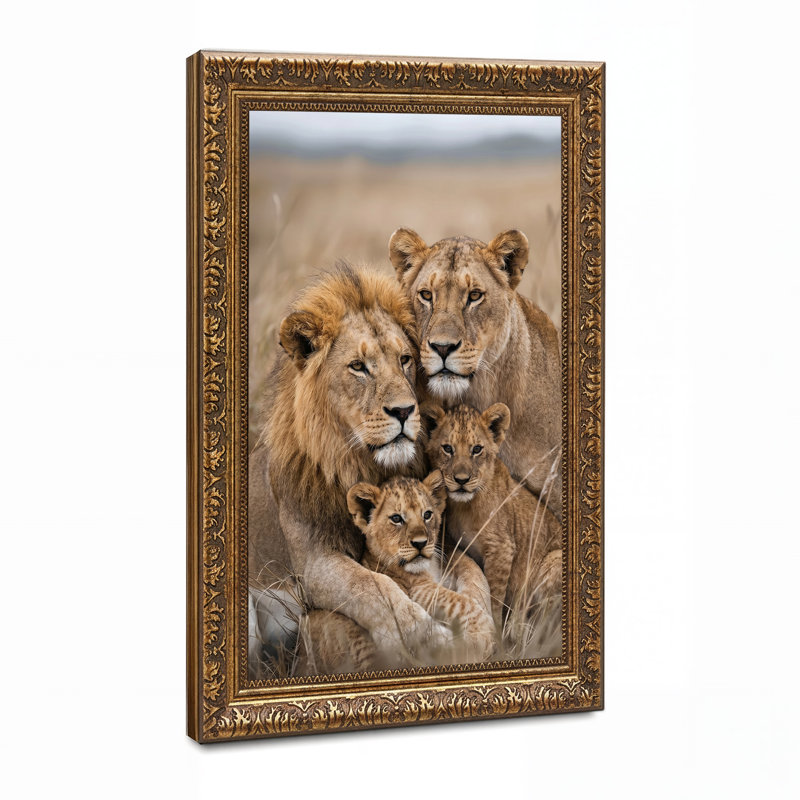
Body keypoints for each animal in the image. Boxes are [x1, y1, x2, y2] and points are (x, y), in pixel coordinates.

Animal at [248, 264, 454, 678]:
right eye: (359, 367)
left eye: (405, 359)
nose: (405, 411)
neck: (360, 465)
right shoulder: (312, 564)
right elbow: (371, 584)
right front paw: (424, 635)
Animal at [423, 401, 562, 649]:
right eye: (447, 448)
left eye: (477, 449)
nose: (461, 480)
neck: (465, 507)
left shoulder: (502, 549)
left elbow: (495, 596)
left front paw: (497, 634)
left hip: (554, 559)